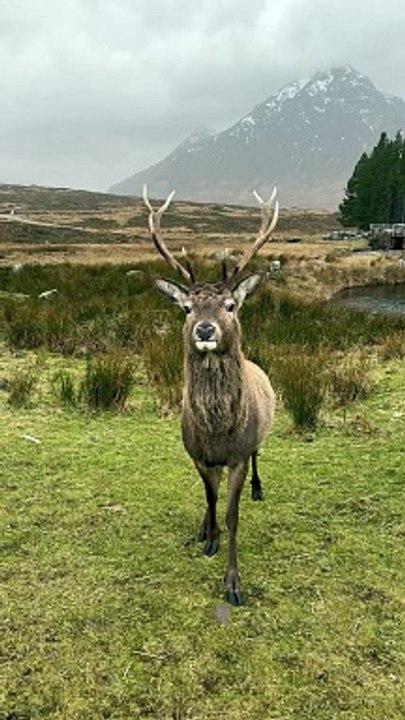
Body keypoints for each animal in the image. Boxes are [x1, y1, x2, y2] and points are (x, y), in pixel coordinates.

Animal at [143, 185, 279, 605]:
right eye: (186, 307)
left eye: (230, 305)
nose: (205, 330)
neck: (218, 430)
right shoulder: (198, 455)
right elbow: (210, 498)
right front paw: (210, 538)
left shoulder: (237, 456)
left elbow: (233, 515)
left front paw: (233, 582)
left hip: (260, 438)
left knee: (259, 457)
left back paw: (258, 489)